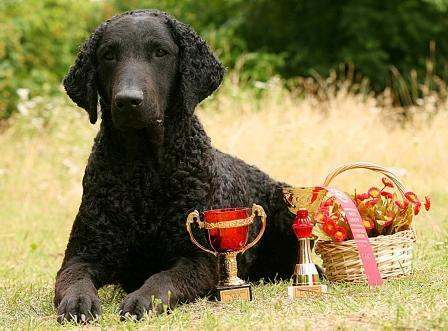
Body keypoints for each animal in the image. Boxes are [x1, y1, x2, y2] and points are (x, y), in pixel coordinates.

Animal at [54, 9, 296, 322]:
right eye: (108, 55)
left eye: (160, 52)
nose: (128, 101)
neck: (144, 170)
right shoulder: (82, 254)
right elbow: (75, 279)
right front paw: (78, 302)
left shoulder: (199, 258)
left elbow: (162, 279)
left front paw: (141, 300)